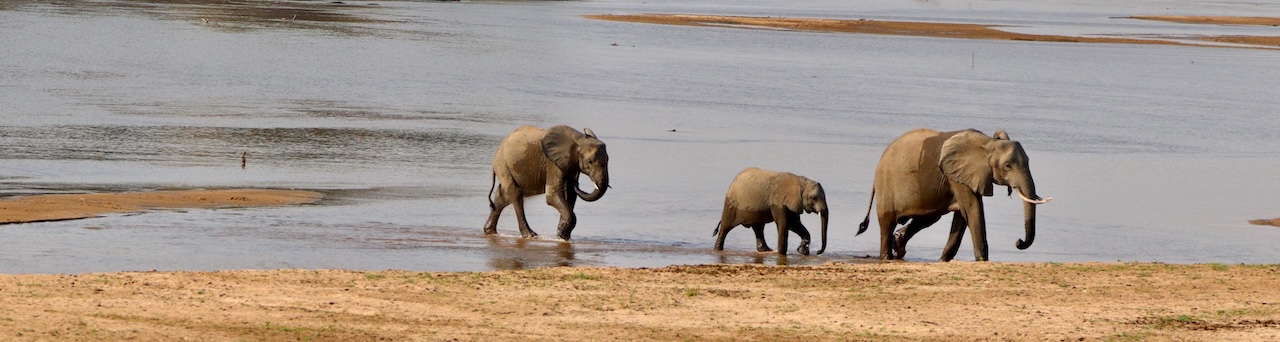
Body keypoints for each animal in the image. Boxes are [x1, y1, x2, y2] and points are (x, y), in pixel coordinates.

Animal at [860, 129, 1049, 262]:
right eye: (1008, 165)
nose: (1018, 242)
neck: (988, 143)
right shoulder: (958, 177)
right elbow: (973, 211)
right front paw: (982, 260)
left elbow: (962, 216)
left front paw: (943, 261)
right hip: (887, 184)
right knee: (887, 222)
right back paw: (887, 257)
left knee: (928, 218)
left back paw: (898, 245)